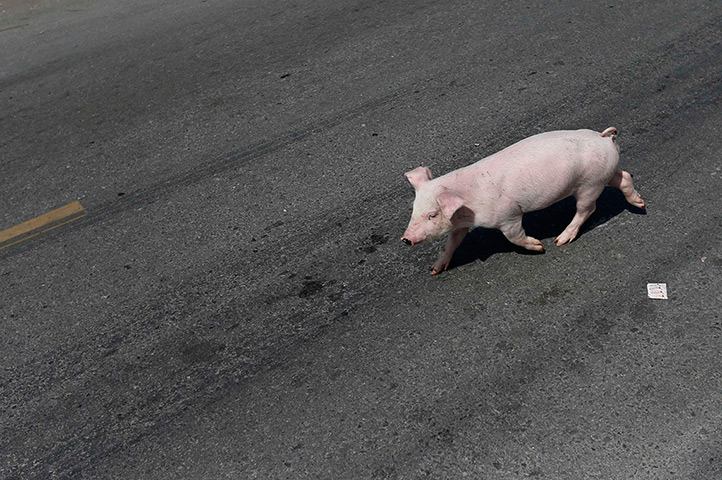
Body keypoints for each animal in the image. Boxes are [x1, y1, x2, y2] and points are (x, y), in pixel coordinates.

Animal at [401, 127, 645, 274]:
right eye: (414, 209)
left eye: (432, 214)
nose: (405, 239)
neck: (467, 206)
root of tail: (603, 137)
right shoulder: (460, 224)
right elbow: (451, 243)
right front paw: (434, 269)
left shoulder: (508, 215)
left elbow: (513, 236)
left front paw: (539, 247)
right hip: (603, 174)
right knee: (624, 177)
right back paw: (641, 204)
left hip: (589, 184)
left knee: (588, 208)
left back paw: (560, 240)